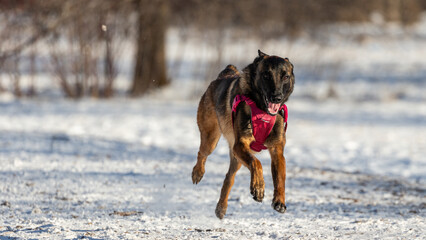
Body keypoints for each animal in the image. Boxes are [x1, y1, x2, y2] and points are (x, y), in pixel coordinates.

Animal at [192, 49, 294, 218]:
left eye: (285, 76)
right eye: (266, 75)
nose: (276, 97)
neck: (262, 110)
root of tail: (223, 75)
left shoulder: (277, 150)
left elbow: (280, 177)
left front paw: (279, 200)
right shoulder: (241, 144)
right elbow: (256, 163)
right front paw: (258, 186)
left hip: (236, 156)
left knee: (229, 177)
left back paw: (221, 207)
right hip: (211, 139)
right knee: (202, 153)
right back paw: (197, 172)